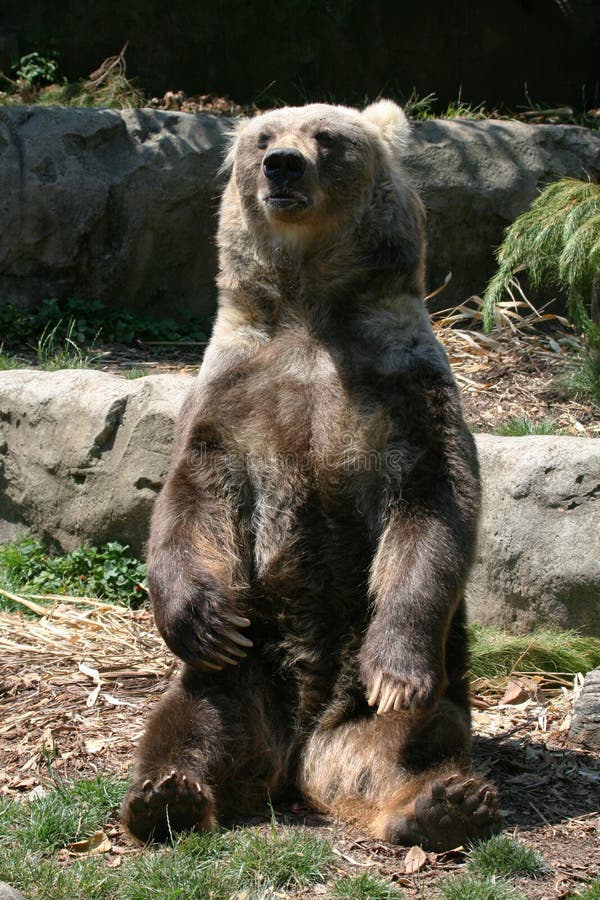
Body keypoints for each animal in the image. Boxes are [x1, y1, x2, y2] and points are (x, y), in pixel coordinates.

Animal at [119, 100, 500, 852]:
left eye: (328, 137)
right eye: (263, 137)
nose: (283, 166)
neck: (308, 309)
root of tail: (295, 762)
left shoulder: (403, 389)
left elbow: (434, 503)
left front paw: (398, 672)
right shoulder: (234, 391)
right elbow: (192, 495)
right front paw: (204, 619)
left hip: (383, 693)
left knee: (410, 740)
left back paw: (443, 802)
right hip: (246, 676)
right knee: (192, 721)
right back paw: (166, 797)